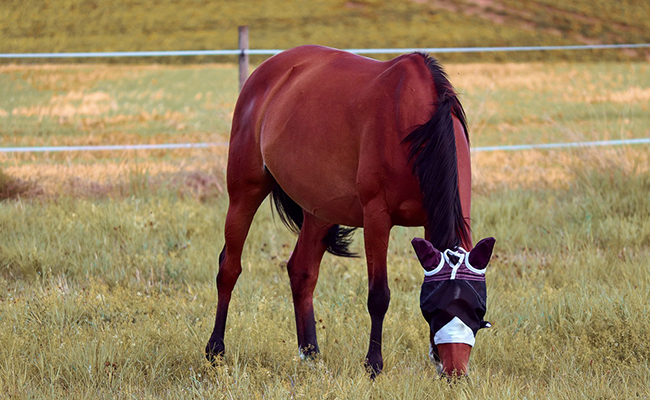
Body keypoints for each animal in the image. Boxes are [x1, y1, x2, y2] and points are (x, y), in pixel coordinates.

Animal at [205, 45, 494, 376]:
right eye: (434, 309)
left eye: (478, 310)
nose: (456, 373)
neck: (417, 125)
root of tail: (268, 69)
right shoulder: (377, 217)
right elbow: (379, 295)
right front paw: (373, 365)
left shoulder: (430, 223)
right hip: (244, 192)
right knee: (229, 268)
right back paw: (215, 350)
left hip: (319, 211)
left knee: (301, 271)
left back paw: (310, 353)